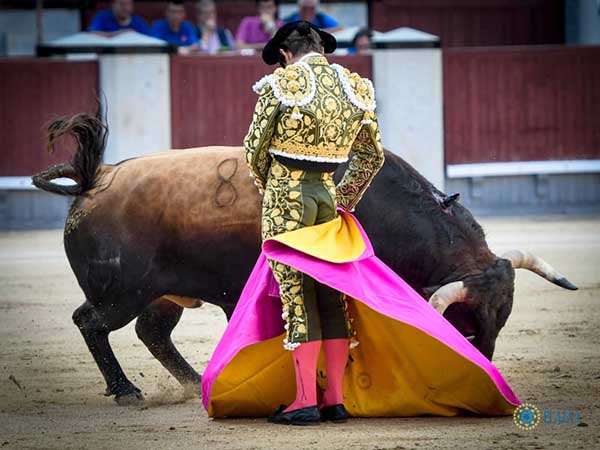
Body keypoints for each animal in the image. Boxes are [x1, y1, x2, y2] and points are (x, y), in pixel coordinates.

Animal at [32, 110, 577, 405]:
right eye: (466, 327)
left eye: (502, 321)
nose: (485, 374)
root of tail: (95, 179)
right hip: (122, 292)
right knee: (91, 322)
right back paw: (127, 390)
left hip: (162, 294)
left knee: (152, 333)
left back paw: (196, 383)